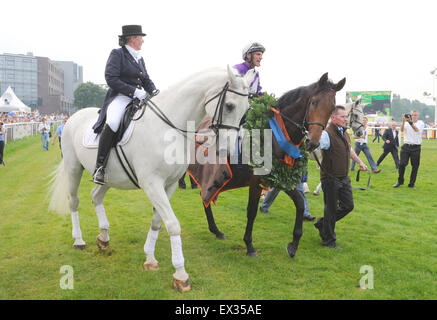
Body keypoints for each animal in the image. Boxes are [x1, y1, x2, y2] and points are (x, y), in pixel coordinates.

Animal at [46, 65, 252, 292]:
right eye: (230, 106)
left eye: (246, 110)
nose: (229, 151)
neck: (168, 127)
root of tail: (73, 117)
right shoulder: (152, 184)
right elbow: (172, 224)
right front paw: (180, 275)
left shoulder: (169, 185)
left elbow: (157, 222)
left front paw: (150, 259)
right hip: (74, 168)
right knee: (74, 202)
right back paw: (79, 240)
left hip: (108, 177)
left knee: (96, 196)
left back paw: (104, 238)